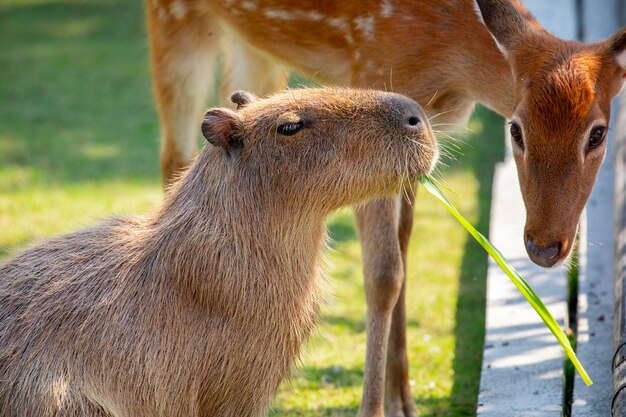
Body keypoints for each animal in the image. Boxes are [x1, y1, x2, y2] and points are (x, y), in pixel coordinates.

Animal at [144, 1, 620, 414]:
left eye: (598, 133)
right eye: (515, 130)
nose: (545, 246)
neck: (449, 60)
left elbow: (405, 256)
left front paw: (402, 401)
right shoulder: (370, 70)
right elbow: (384, 275)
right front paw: (375, 407)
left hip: (254, 48)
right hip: (175, 20)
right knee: (174, 154)